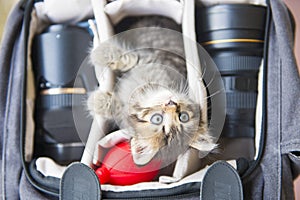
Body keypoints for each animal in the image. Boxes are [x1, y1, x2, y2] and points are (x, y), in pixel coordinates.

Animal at [86, 16, 216, 167]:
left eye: (157, 119)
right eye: (184, 117)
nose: (171, 103)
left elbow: (114, 107)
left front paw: (96, 101)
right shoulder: (148, 58)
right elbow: (127, 59)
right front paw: (101, 52)